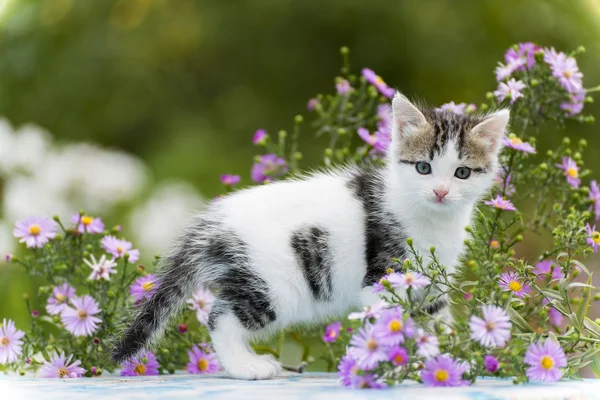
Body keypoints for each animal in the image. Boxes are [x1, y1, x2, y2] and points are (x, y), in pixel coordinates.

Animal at [111, 92, 506, 380]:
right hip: (275, 285)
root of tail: (215, 221)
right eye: (423, 167)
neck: (432, 219)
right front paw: (393, 360)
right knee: (219, 317)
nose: (440, 191)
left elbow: (435, 321)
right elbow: (386, 322)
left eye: (462, 172)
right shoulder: (381, 274)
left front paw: (449, 359)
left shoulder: (434, 282)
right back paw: (246, 366)